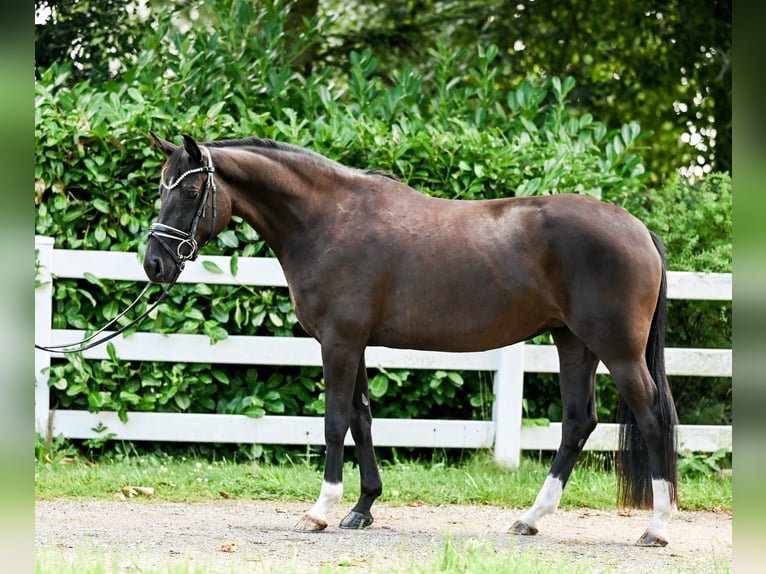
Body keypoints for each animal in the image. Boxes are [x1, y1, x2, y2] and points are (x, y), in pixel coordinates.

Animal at [142, 132, 680, 548]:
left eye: (190, 193)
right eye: (160, 190)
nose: (154, 265)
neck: (328, 219)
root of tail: (640, 230)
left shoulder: (338, 342)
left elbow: (335, 422)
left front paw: (319, 510)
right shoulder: (355, 344)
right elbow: (362, 418)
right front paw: (362, 508)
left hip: (618, 351)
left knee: (652, 419)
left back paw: (656, 528)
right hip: (573, 343)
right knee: (577, 422)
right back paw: (529, 519)